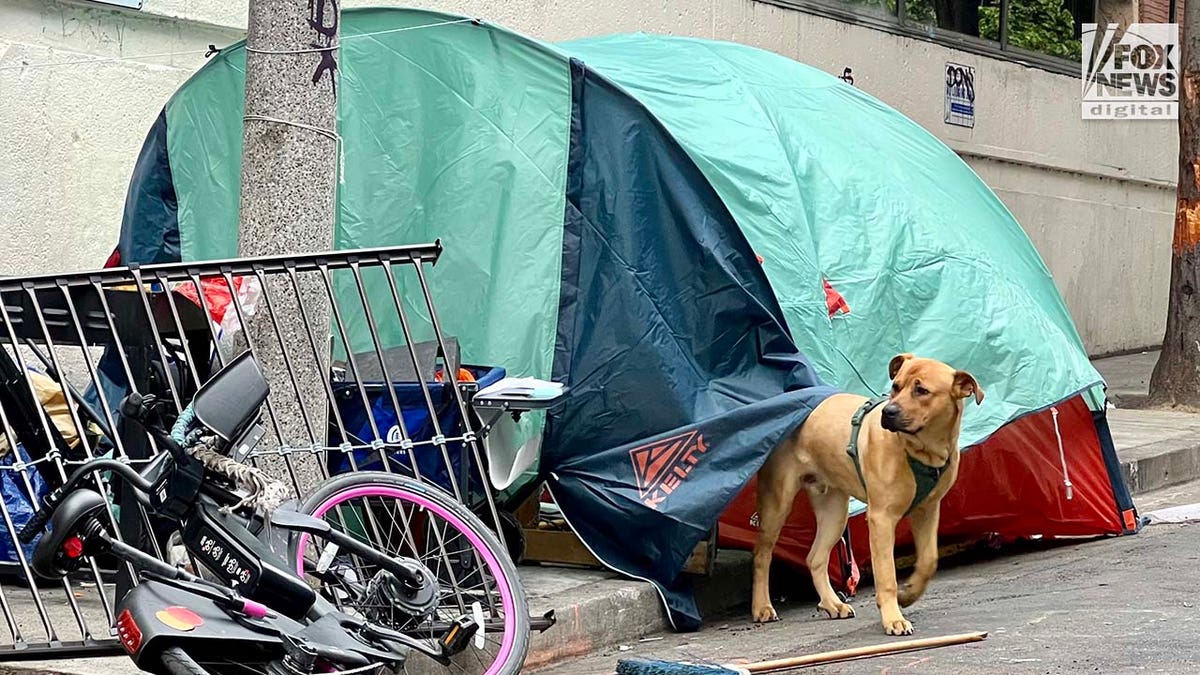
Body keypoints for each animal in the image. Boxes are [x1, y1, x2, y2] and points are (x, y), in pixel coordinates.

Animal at [748, 355, 984, 634]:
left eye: (922, 390)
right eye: (895, 386)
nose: (888, 412)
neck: (922, 451)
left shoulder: (928, 510)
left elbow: (929, 561)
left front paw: (909, 594)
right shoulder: (881, 518)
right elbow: (886, 574)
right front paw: (893, 617)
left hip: (834, 511)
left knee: (815, 557)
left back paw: (832, 603)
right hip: (778, 502)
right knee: (762, 555)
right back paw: (762, 607)